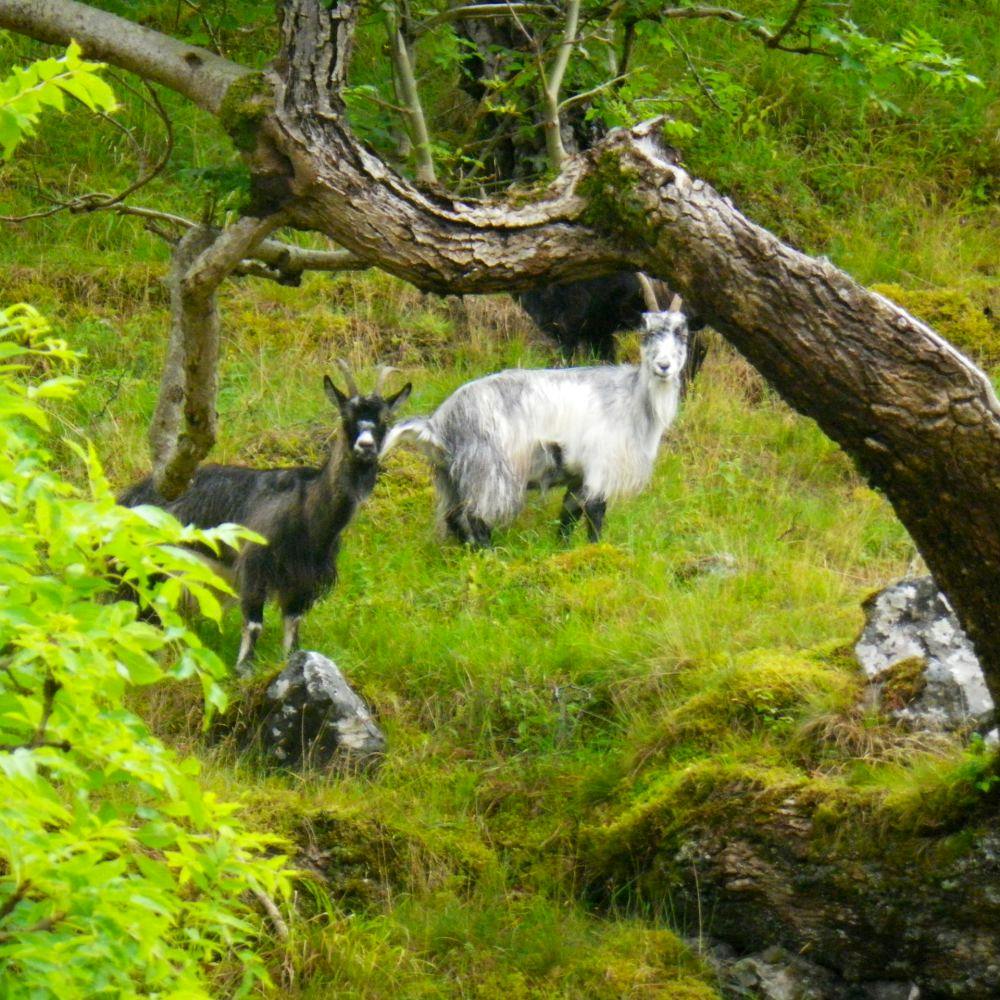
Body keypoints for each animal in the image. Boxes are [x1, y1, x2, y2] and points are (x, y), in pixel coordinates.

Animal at [120, 366, 411, 671]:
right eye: (346, 416)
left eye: (386, 419)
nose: (365, 446)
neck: (307, 511)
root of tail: (130, 497)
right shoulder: (254, 567)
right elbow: (254, 623)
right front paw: (244, 668)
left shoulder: (302, 581)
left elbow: (293, 624)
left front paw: (292, 660)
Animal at [383, 299, 689, 547]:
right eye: (646, 332)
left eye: (682, 333)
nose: (663, 366)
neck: (633, 398)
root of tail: (438, 424)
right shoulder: (601, 464)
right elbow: (595, 513)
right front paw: (595, 551)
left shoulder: (578, 474)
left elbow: (569, 513)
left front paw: (563, 549)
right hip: (489, 471)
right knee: (475, 516)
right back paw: (491, 557)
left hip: (451, 476)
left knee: (453, 516)